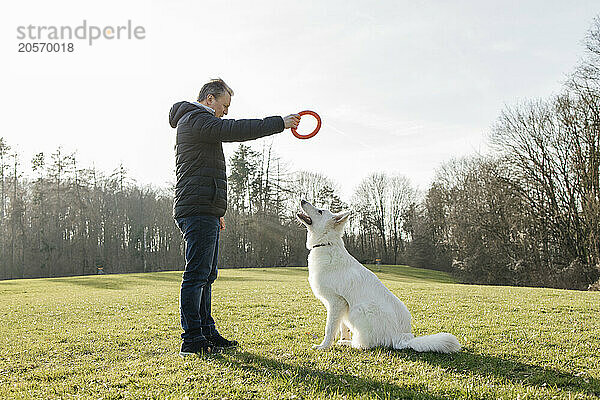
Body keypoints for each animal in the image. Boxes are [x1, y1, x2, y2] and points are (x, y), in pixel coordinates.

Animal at [298, 200, 462, 354]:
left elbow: (330, 328)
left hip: (358, 310)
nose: (302, 201)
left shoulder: (336, 302)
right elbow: (343, 328)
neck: (326, 244)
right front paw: (341, 338)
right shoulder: (341, 306)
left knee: (365, 345)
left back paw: (349, 344)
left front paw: (323, 346)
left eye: (319, 211)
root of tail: (402, 338)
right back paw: (346, 341)